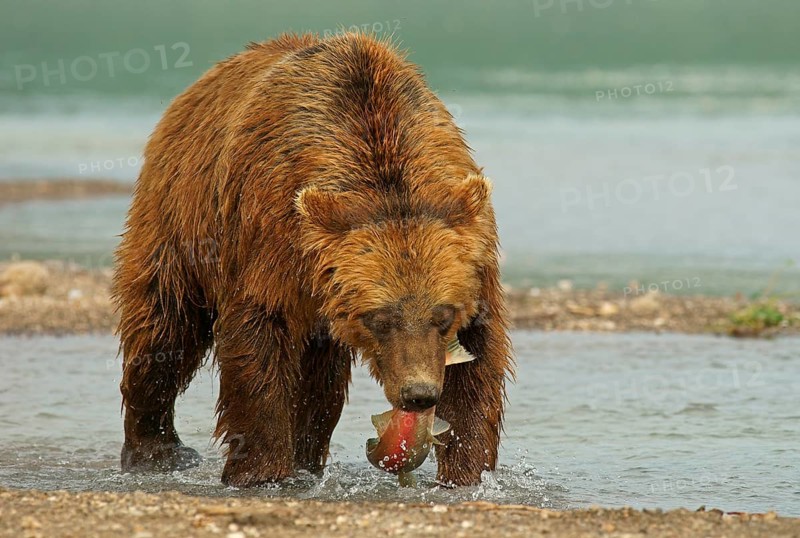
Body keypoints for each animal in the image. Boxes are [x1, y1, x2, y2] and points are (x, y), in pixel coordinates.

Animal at [113, 32, 513, 487]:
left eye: (443, 315)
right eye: (379, 318)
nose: (418, 394)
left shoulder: (472, 252)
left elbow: (478, 361)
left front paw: (468, 471)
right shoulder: (269, 234)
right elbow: (257, 340)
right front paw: (260, 471)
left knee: (320, 377)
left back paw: (307, 458)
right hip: (179, 221)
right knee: (164, 329)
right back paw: (157, 450)